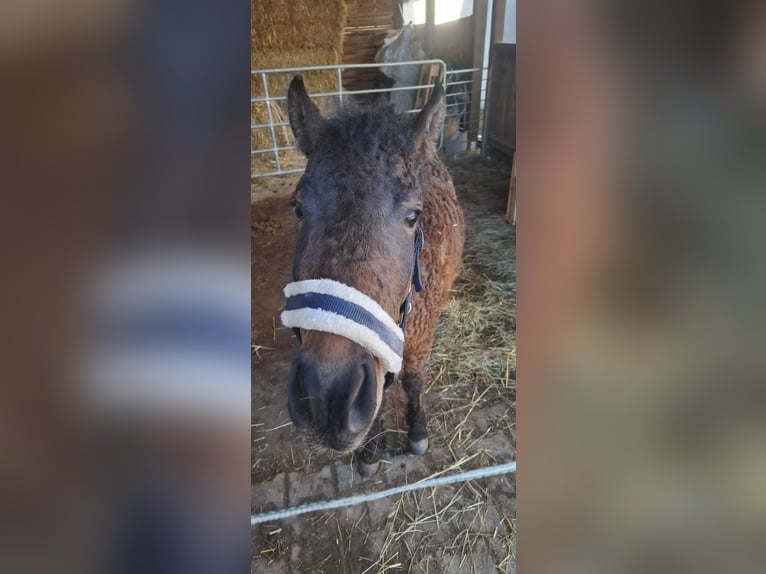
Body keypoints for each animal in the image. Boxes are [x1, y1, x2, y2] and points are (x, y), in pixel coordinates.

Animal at [282, 75, 465, 477]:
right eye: (298, 208)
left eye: (413, 216)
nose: (326, 396)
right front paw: (369, 452)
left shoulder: (420, 338)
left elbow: (412, 380)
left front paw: (417, 432)